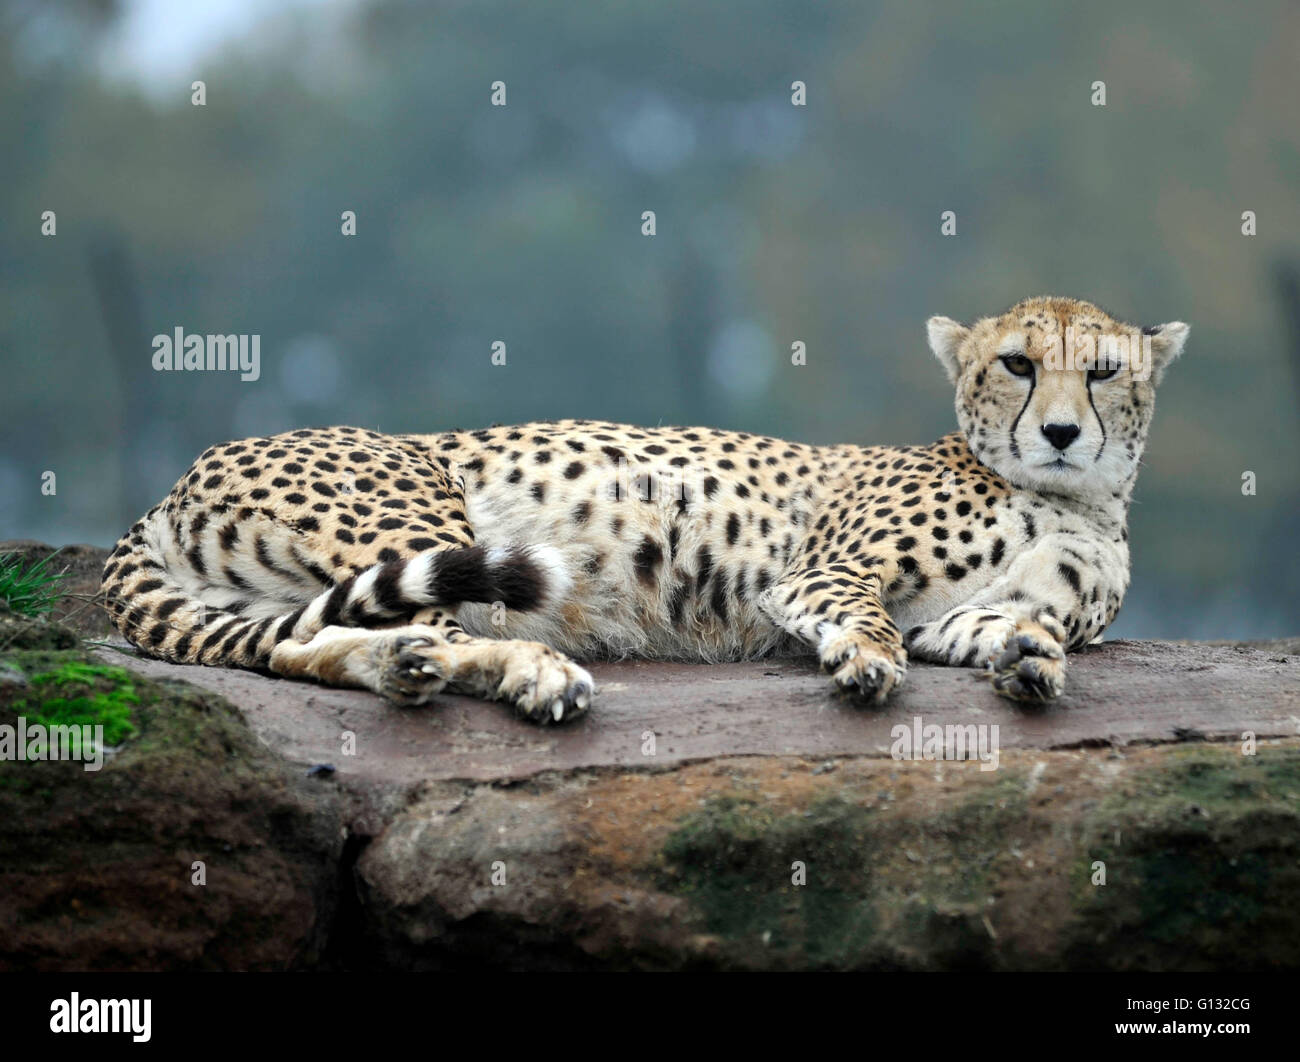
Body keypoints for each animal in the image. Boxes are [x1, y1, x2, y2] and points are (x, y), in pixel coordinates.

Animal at [101, 293, 1190, 722]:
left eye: (1100, 371)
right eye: (1017, 365)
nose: (1061, 432)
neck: (1067, 497)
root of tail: (166, 487)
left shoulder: (969, 613)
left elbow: (1008, 630)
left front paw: (1030, 664)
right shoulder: (824, 571)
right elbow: (869, 620)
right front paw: (864, 665)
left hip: (281, 601)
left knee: (304, 646)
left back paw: (407, 668)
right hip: (425, 516)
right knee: (439, 625)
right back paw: (536, 674)